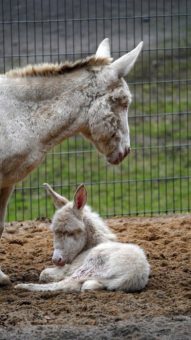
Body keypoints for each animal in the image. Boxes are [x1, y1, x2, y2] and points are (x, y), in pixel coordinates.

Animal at [15, 183, 150, 292]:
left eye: (70, 232)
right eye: (54, 232)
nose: (56, 260)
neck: (93, 244)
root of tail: (132, 276)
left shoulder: (70, 268)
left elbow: (44, 273)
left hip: (91, 267)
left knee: (66, 284)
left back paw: (22, 286)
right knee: (86, 285)